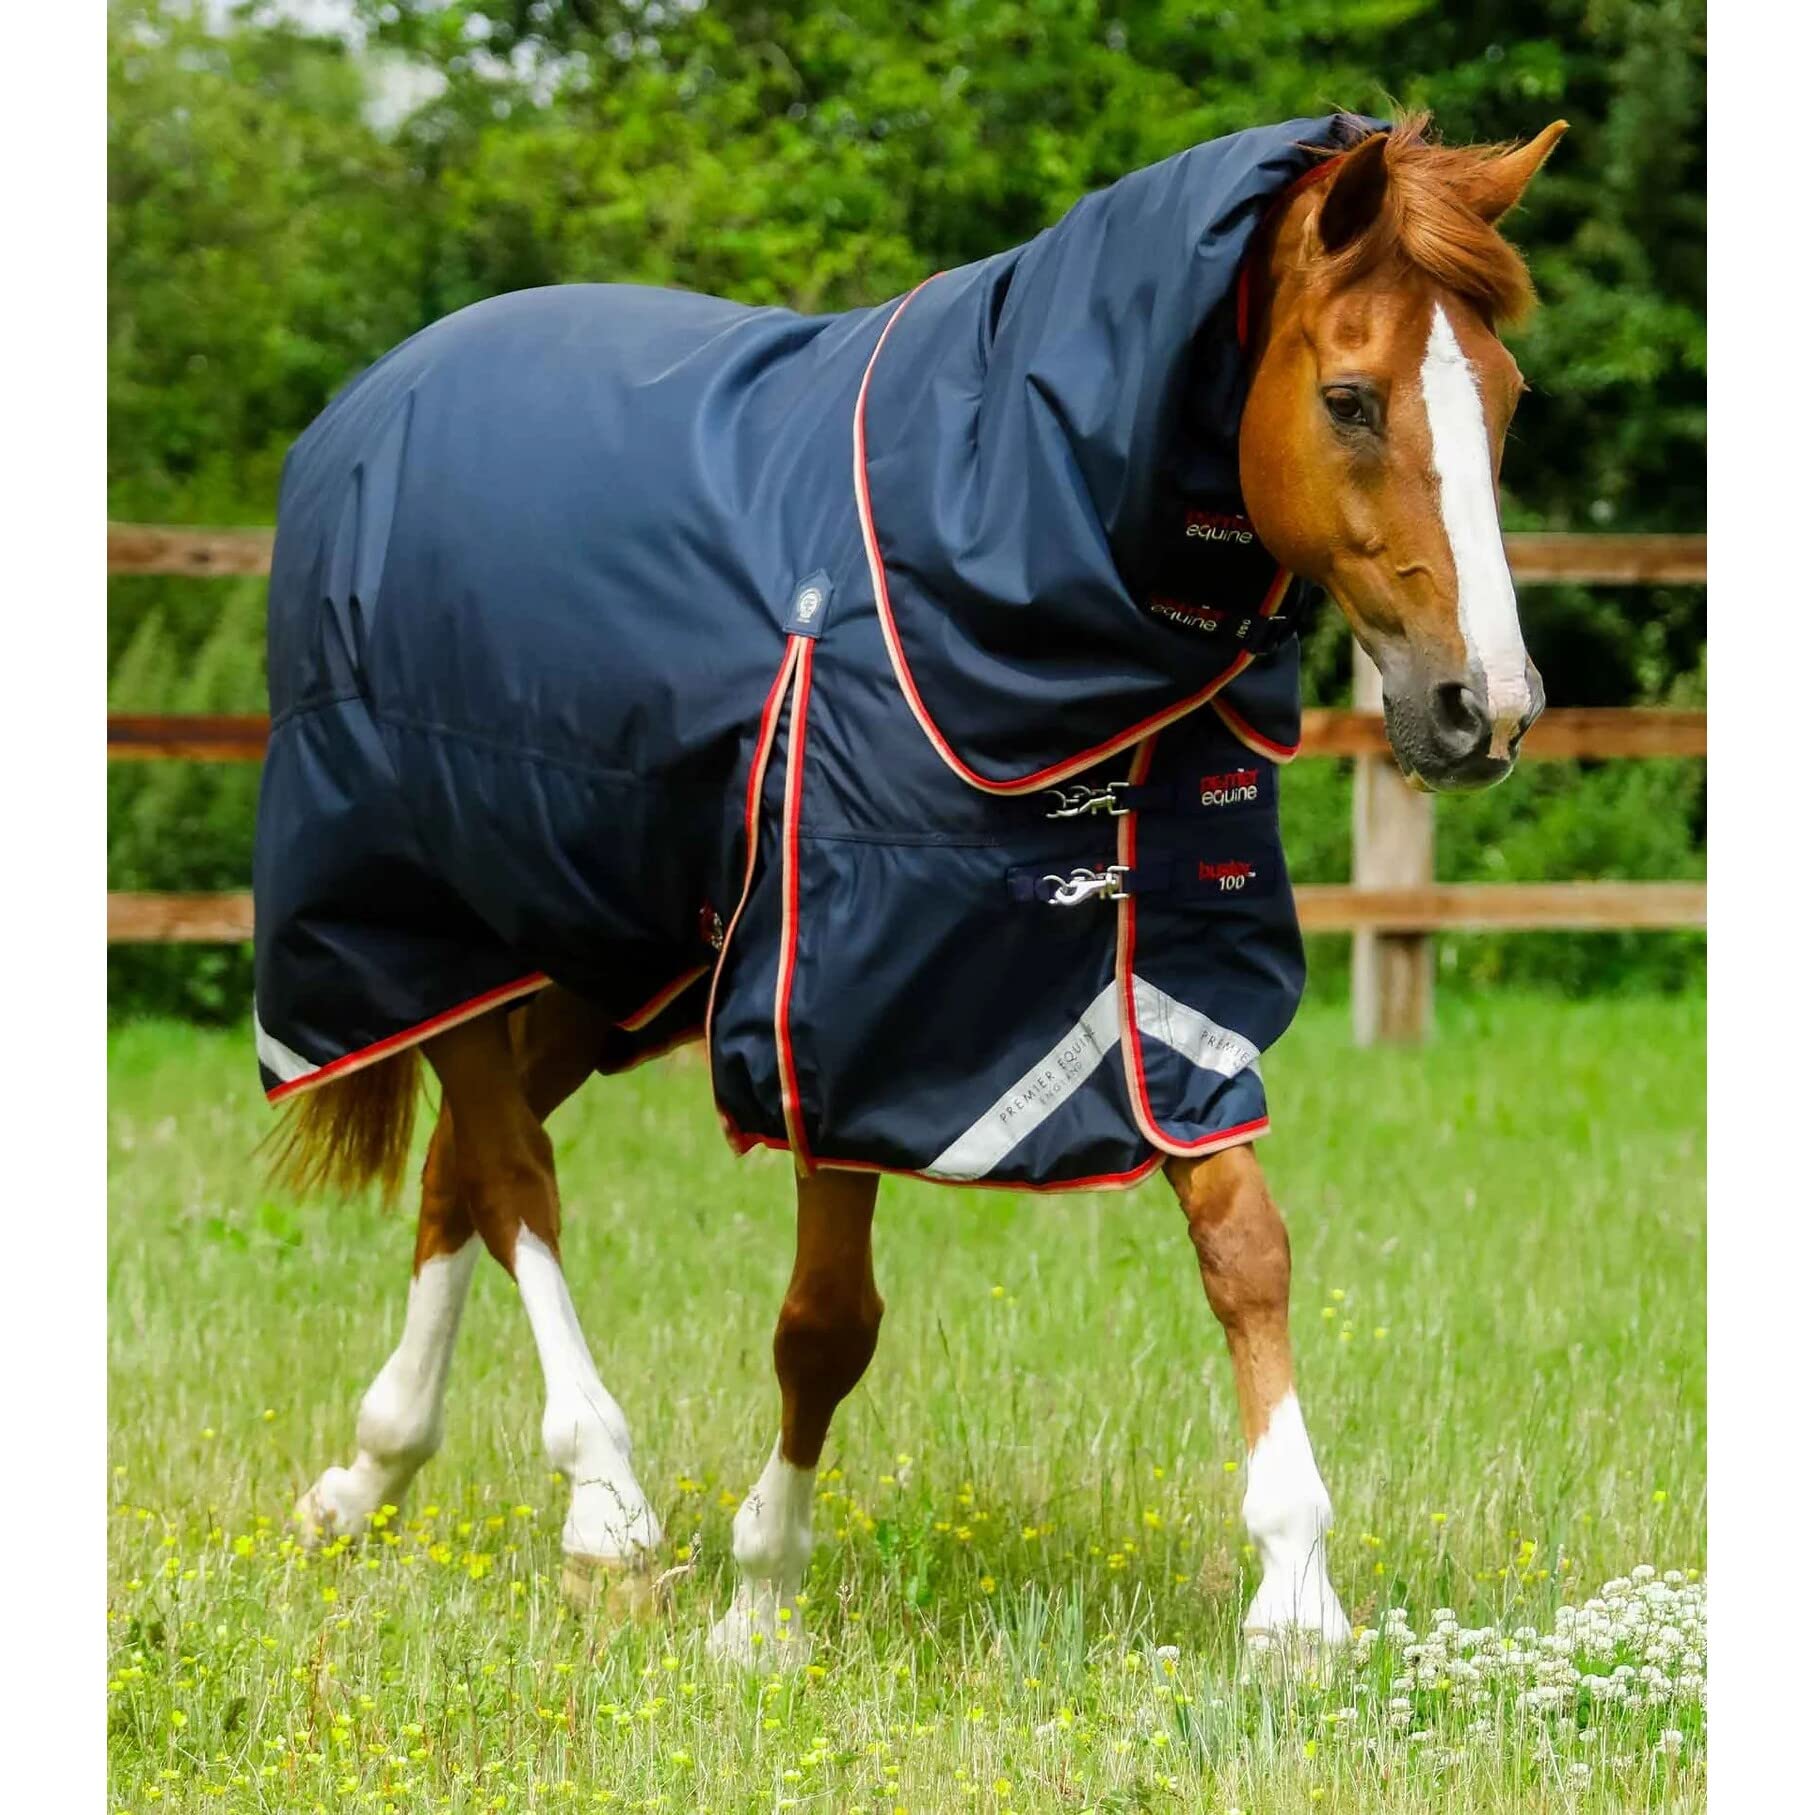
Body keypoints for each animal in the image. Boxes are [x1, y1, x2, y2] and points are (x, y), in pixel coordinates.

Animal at [263, 112, 1566, 1664]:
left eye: (1505, 398)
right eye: (1354, 400)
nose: (1484, 707)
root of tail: (372, 398)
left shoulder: (1153, 986)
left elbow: (1246, 1246)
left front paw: (1296, 1592)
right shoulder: (834, 998)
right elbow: (827, 1317)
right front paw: (762, 1591)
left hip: (597, 957)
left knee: (460, 1169)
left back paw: (368, 1474)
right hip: (424, 919)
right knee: (515, 1175)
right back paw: (604, 1510)